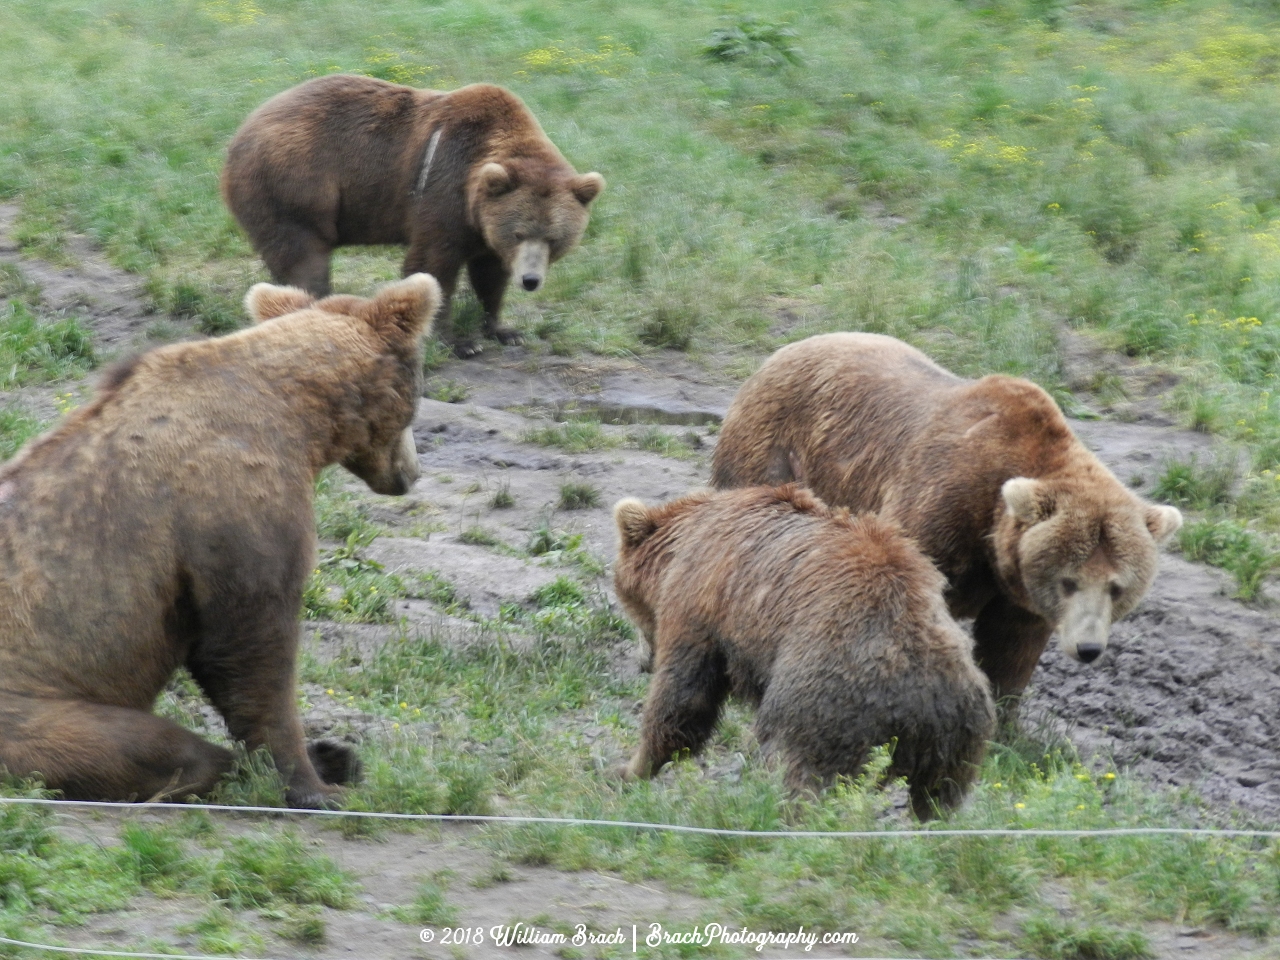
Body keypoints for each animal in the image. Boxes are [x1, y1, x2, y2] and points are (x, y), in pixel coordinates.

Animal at [0, 273, 440, 808]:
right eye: (418, 397)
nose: (412, 473)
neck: (303, 418)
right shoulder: (232, 503)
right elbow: (251, 645)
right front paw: (314, 786)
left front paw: (331, 759)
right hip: (34, 707)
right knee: (151, 747)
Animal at [222, 75, 606, 358]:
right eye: (519, 233)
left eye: (553, 238)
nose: (530, 280)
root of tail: (240, 130)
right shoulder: (444, 187)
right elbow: (433, 263)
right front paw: (459, 343)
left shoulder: (483, 226)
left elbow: (489, 274)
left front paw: (504, 329)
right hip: (296, 183)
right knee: (303, 258)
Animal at [611, 488, 998, 819]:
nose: (644, 661)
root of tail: (913, 704)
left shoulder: (700, 604)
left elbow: (683, 697)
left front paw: (628, 769)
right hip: (958, 733)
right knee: (940, 798)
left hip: (824, 698)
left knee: (796, 765)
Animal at [711, 335, 1177, 706]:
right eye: (1070, 580)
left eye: (1118, 586)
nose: (1088, 647)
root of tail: (783, 351)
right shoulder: (940, 509)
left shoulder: (1017, 592)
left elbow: (1010, 649)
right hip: (774, 454)